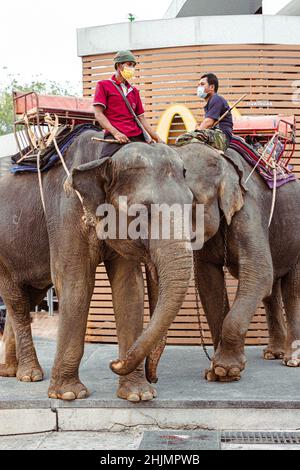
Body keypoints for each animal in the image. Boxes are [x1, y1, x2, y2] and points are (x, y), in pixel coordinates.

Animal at [0, 130, 192, 402]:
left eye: (191, 204)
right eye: (142, 211)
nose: (114, 363)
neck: (104, 158)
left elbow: (129, 288)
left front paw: (139, 395)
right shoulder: (67, 212)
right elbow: (77, 282)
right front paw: (69, 394)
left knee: (26, 298)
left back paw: (11, 371)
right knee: (16, 299)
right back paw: (30, 375)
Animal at [145, 144, 300, 386]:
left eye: (191, 202)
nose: (155, 380)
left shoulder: (249, 210)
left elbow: (258, 273)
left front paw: (226, 370)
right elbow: (209, 284)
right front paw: (214, 373)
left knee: (291, 289)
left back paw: (291, 360)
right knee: (271, 291)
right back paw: (273, 353)